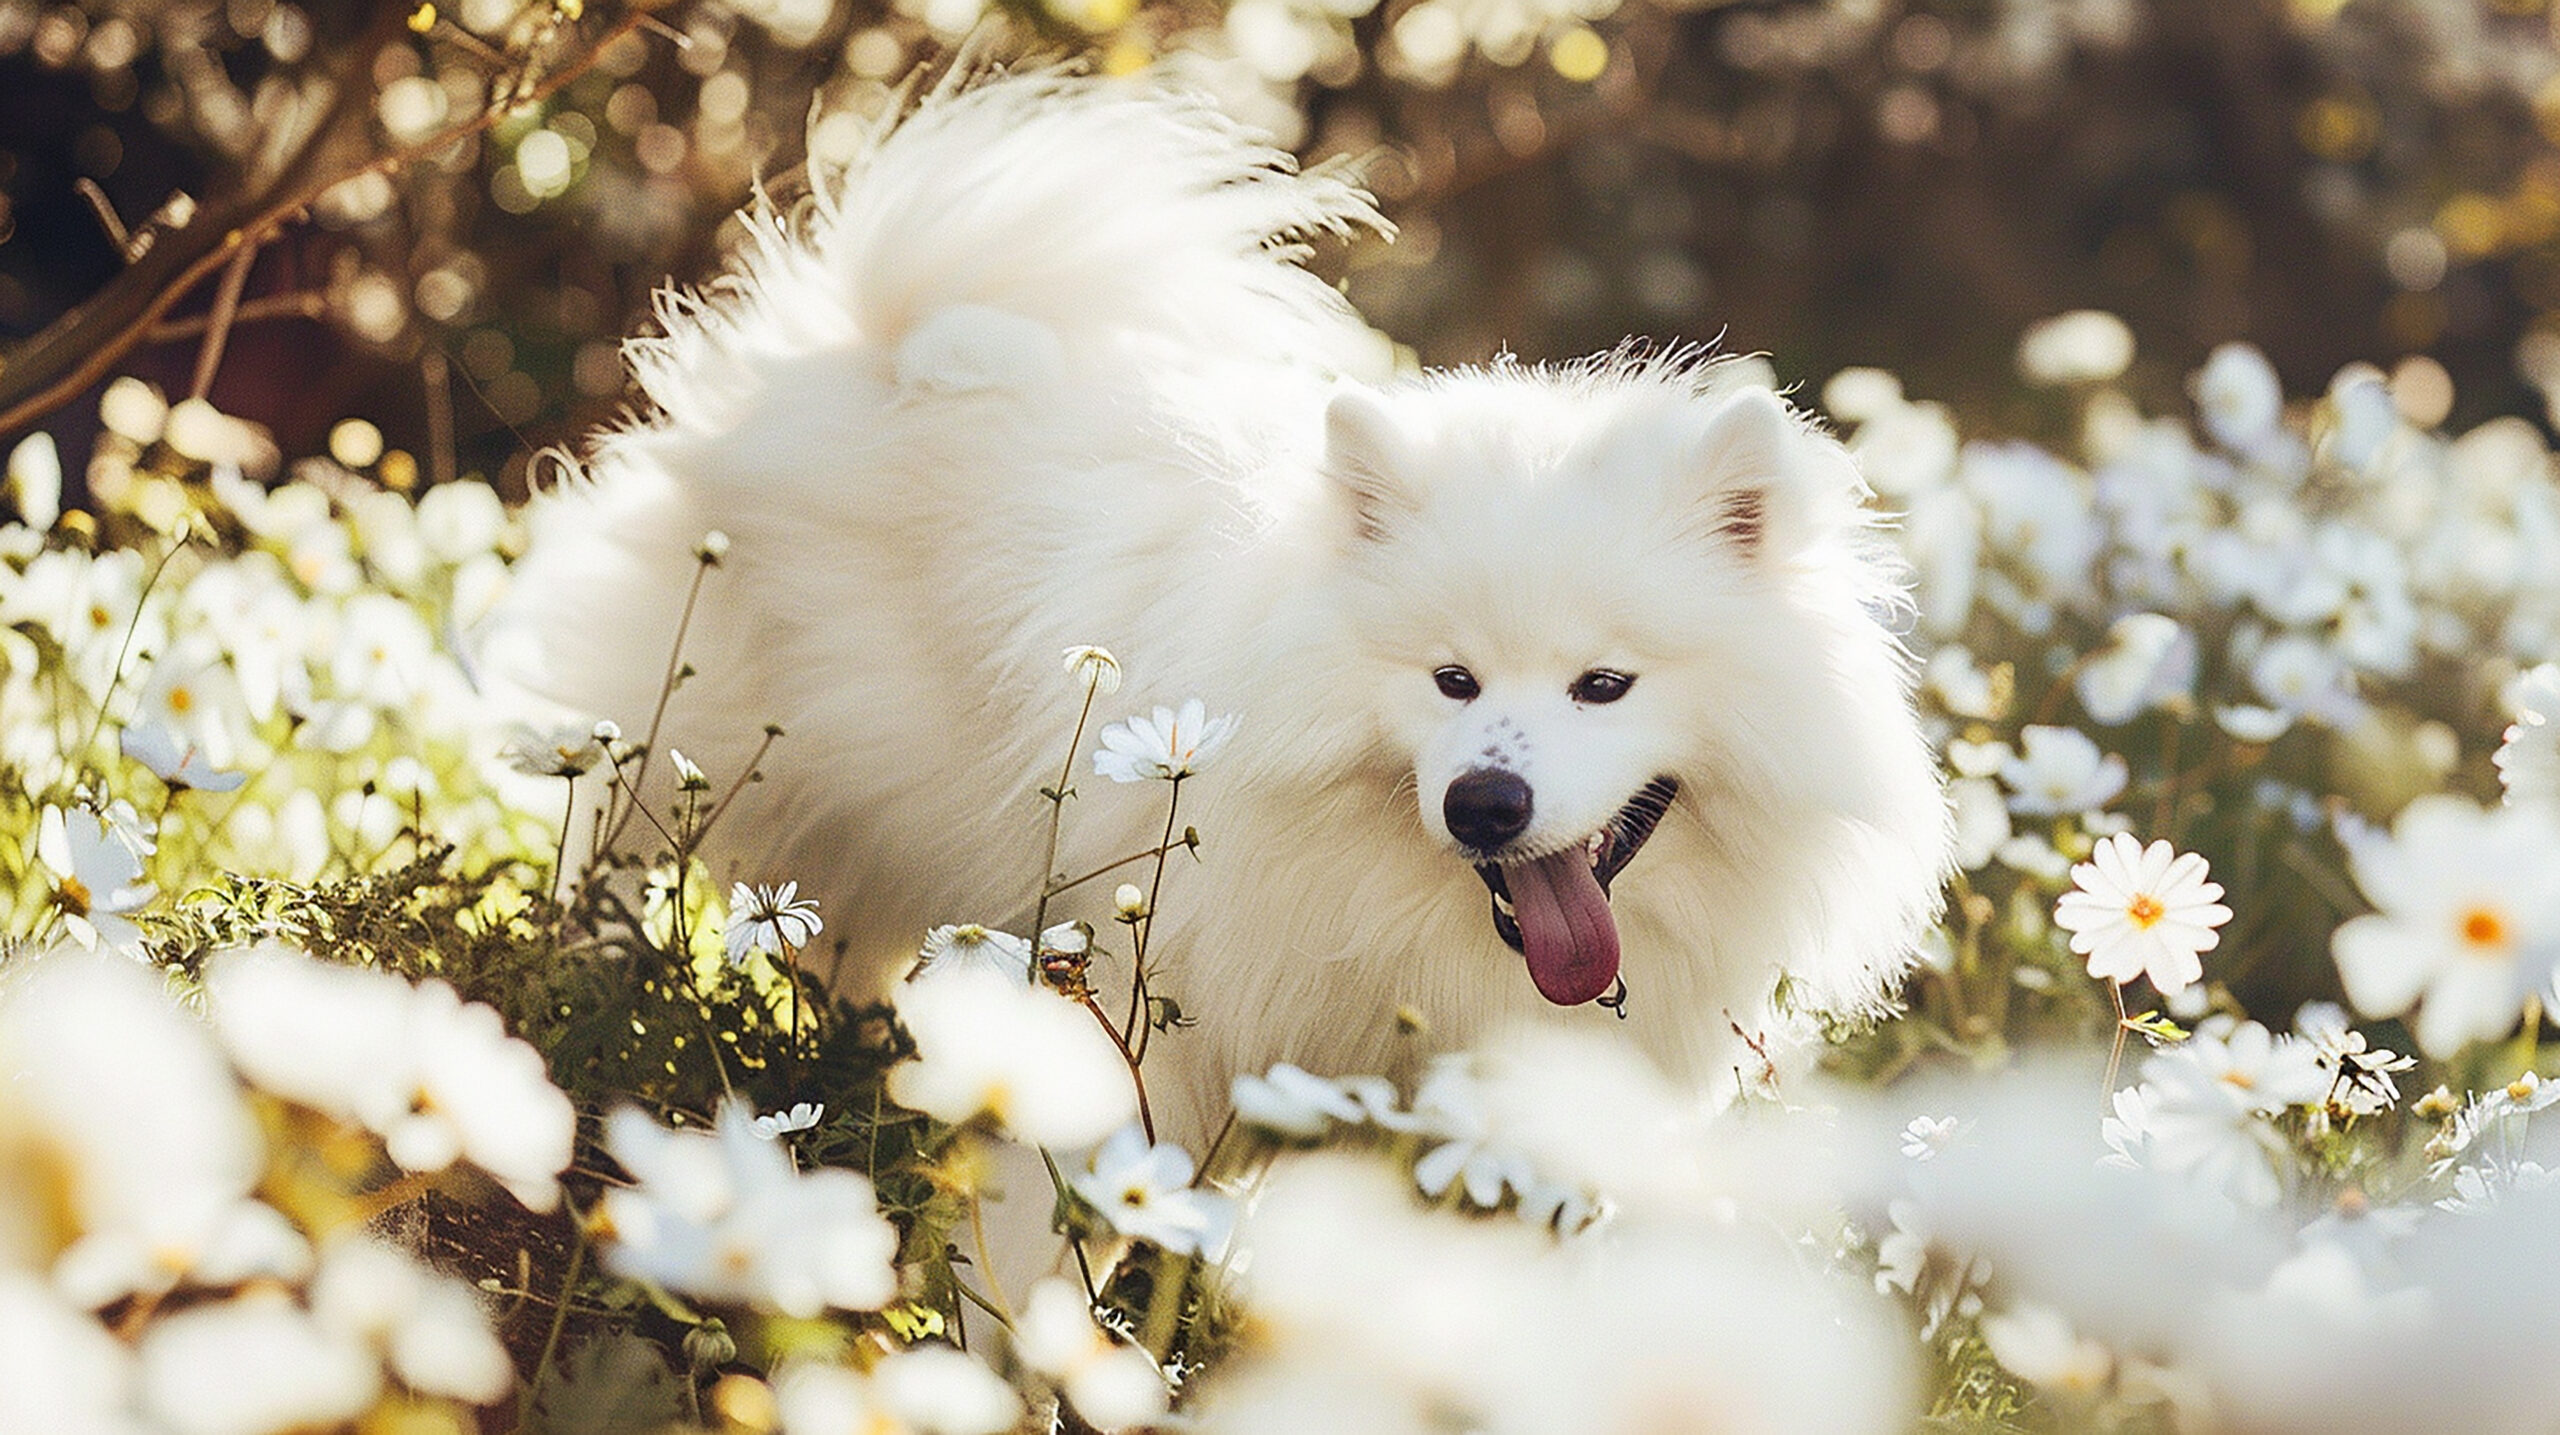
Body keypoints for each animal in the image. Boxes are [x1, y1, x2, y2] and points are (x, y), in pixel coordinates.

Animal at [524, 67, 1955, 1135]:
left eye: (1604, 685)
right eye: (1449, 681)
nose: (1484, 803)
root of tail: (865, 341)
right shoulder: (1151, 1029)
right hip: (693, 768)